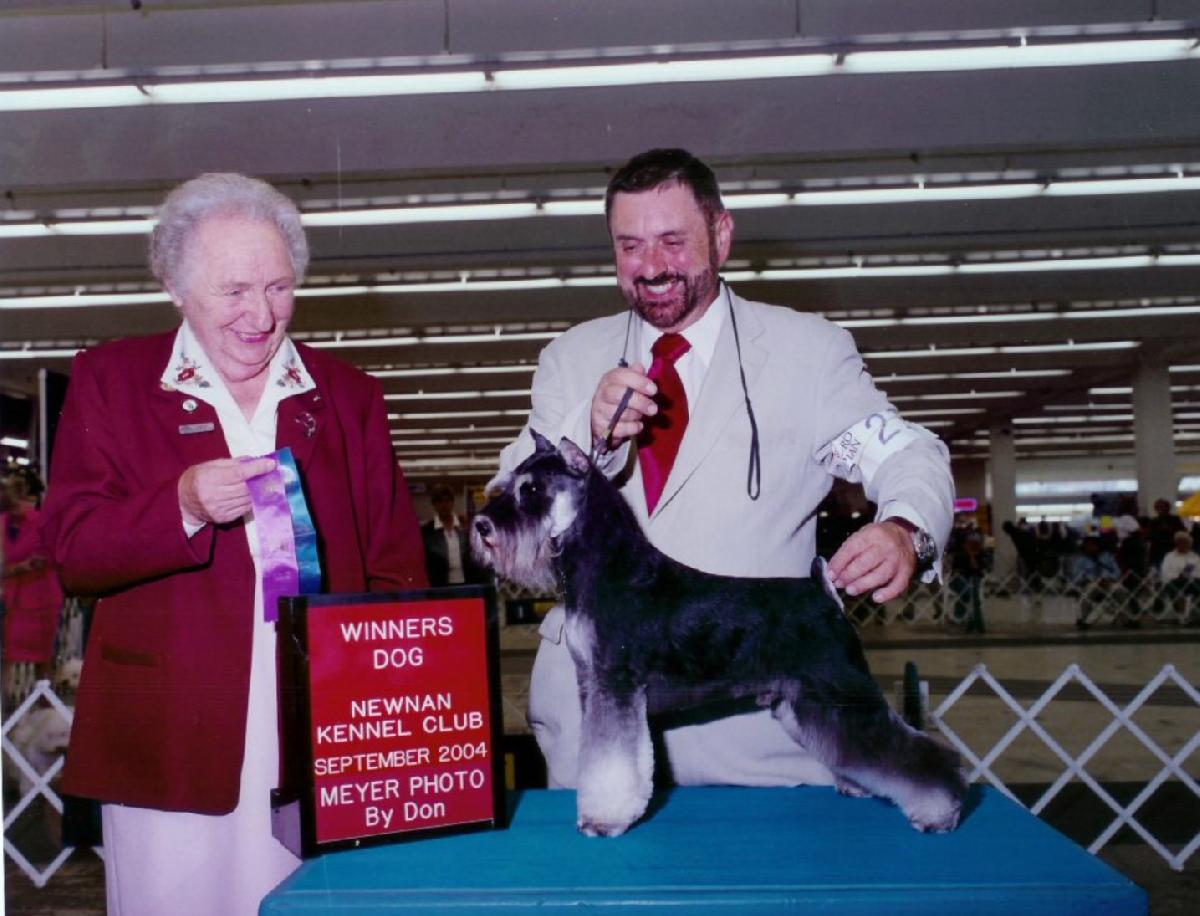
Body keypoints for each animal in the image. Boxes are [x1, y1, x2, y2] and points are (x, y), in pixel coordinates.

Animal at [472, 431, 967, 837]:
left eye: (532, 490)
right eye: (510, 484)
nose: (481, 526)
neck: (605, 566)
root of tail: (823, 591)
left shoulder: (616, 687)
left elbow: (614, 763)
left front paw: (604, 820)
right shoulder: (595, 688)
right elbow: (597, 755)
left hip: (839, 689)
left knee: (915, 752)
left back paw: (940, 811)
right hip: (807, 705)